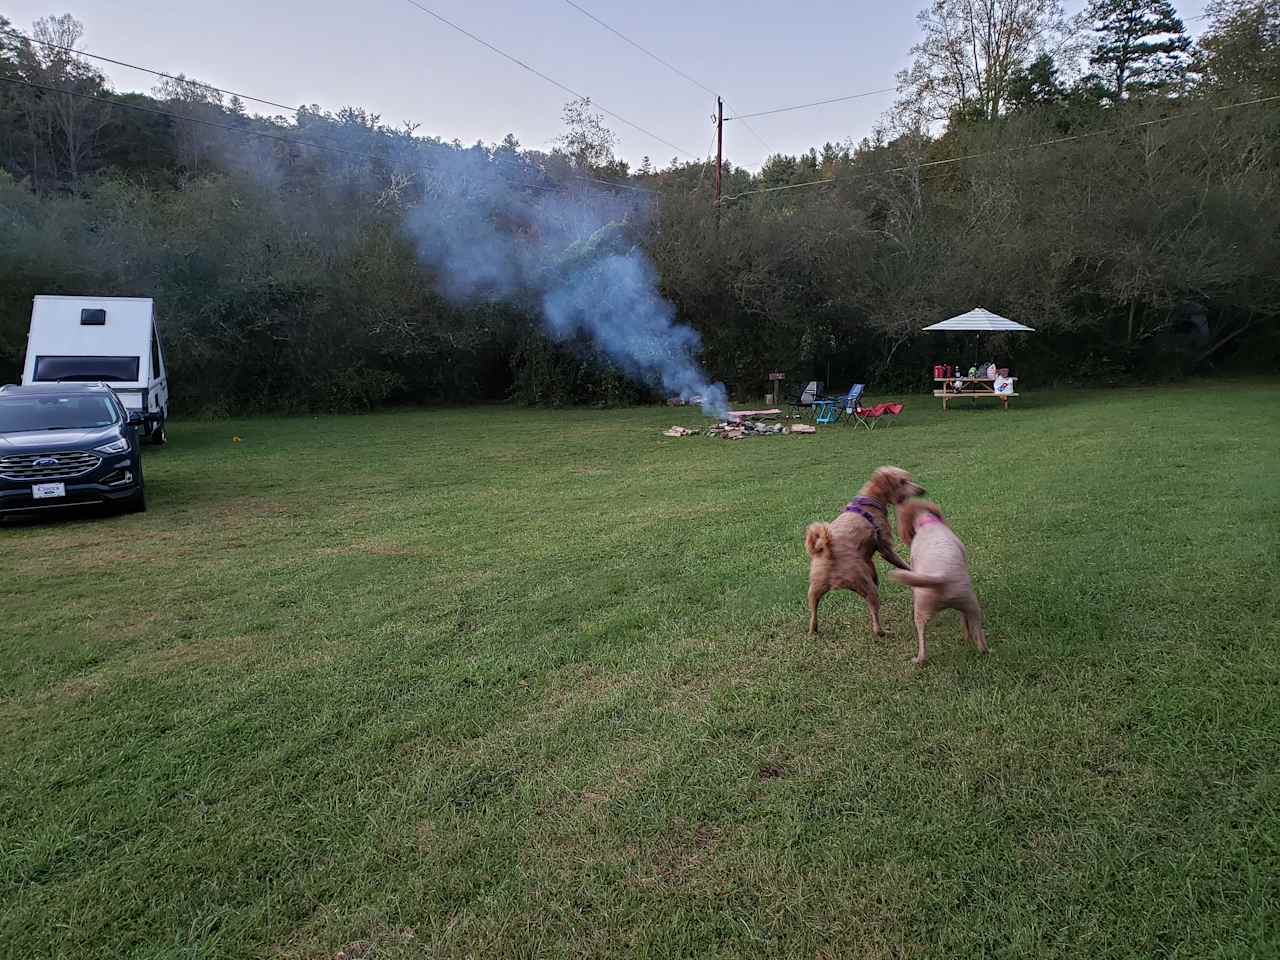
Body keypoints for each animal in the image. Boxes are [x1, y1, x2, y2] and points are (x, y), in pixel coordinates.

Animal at [803, 465, 926, 640]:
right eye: (903, 481)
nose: (922, 490)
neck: (868, 501)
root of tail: (828, 551)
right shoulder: (885, 548)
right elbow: (902, 563)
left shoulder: (868, 558)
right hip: (869, 589)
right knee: (875, 619)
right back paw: (882, 632)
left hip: (813, 591)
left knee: (813, 614)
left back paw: (813, 630)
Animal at [890, 499, 988, 665]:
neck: (927, 522)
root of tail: (942, 578)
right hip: (970, 604)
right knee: (975, 633)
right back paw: (977, 645)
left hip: (921, 610)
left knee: (922, 641)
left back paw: (918, 660)